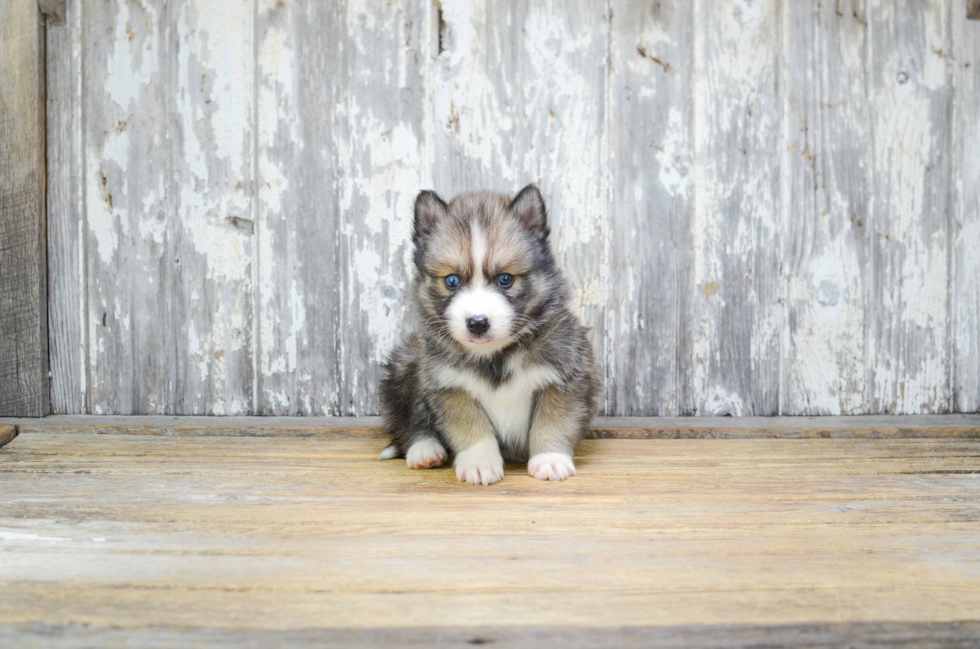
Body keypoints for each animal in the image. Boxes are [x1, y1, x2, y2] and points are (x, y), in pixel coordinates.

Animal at [378, 185, 596, 484]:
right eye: (452, 280)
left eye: (505, 279)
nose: (478, 323)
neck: (495, 356)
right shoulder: (448, 385)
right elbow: (470, 426)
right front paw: (479, 463)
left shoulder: (563, 377)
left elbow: (553, 421)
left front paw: (550, 459)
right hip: (406, 366)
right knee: (408, 421)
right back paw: (424, 449)